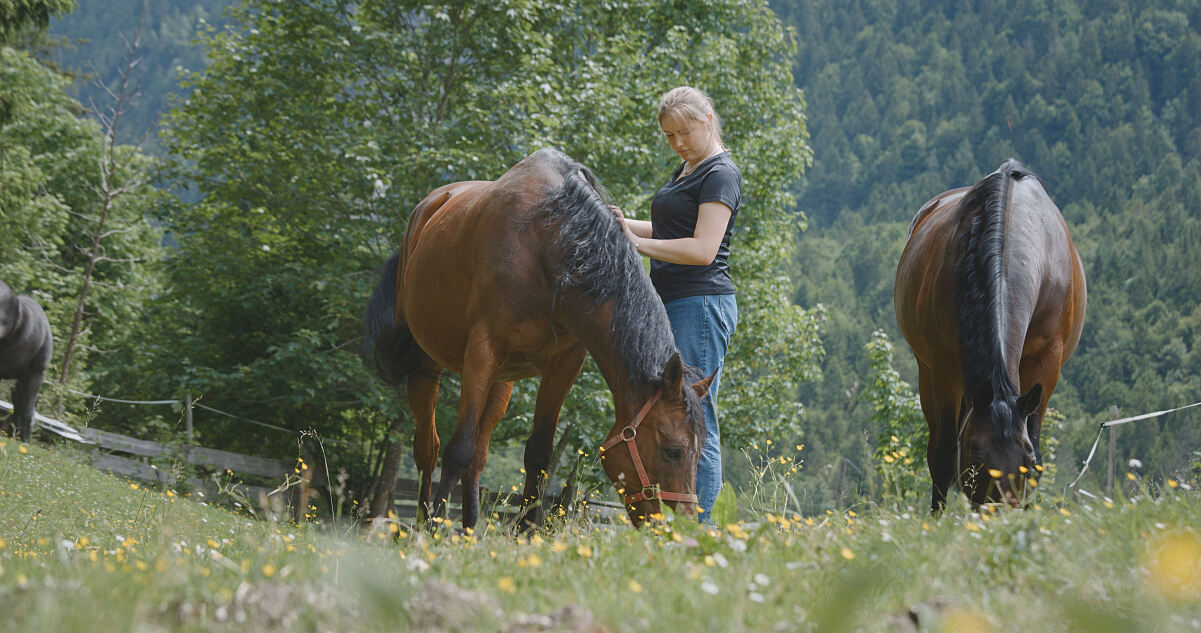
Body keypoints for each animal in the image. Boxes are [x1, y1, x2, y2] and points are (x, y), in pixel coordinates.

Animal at [360, 148, 706, 530]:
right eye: (673, 451)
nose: (683, 525)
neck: (550, 243)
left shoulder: (564, 366)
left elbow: (538, 454)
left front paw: (526, 531)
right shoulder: (482, 351)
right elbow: (458, 449)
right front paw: (435, 528)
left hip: (501, 383)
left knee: (478, 456)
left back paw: (468, 529)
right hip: (429, 366)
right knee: (429, 447)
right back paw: (424, 524)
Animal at [893, 160, 1090, 511]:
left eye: (1025, 458)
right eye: (975, 453)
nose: (998, 511)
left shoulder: (1047, 360)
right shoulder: (944, 366)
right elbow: (944, 453)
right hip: (926, 373)